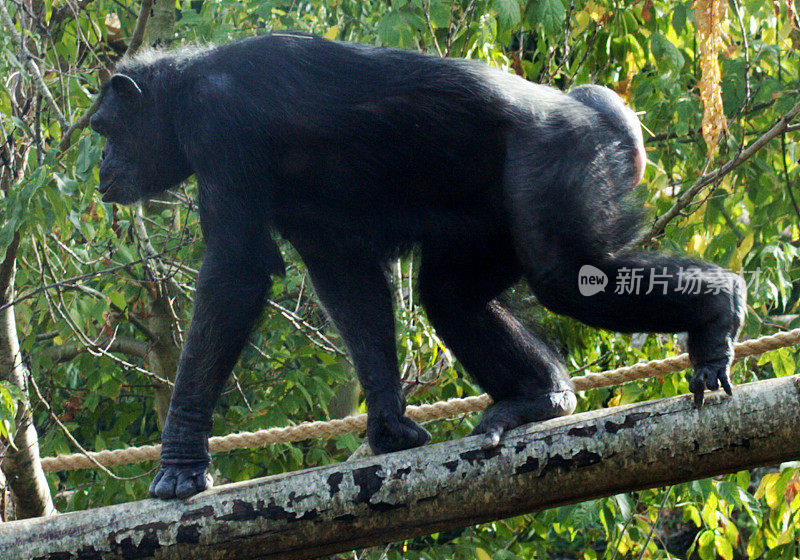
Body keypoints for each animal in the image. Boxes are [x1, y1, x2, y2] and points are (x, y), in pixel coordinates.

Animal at [87, 34, 744, 498]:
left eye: (103, 128)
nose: (100, 164)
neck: (184, 89)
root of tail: (599, 117)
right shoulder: (318, 226)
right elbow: (349, 286)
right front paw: (388, 426)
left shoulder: (218, 126)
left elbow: (235, 272)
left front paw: (179, 461)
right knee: (450, 296)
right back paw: (540, 398)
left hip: (559, 161)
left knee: (567, 275)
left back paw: (717, 316)